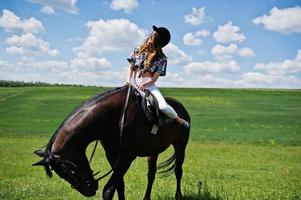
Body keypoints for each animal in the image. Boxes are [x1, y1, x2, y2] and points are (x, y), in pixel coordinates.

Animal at [32, 85, 190, 200]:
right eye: (59, 173)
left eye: (68, 168)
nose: (88, 190)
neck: (116, 117)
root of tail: (182, 108)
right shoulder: (111, 155)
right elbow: (119, 186)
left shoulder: (126, 157)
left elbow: (108, 190)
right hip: (153, 152)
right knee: (151, 174)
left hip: (180, 146)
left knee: (178, 171)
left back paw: (178, 196)